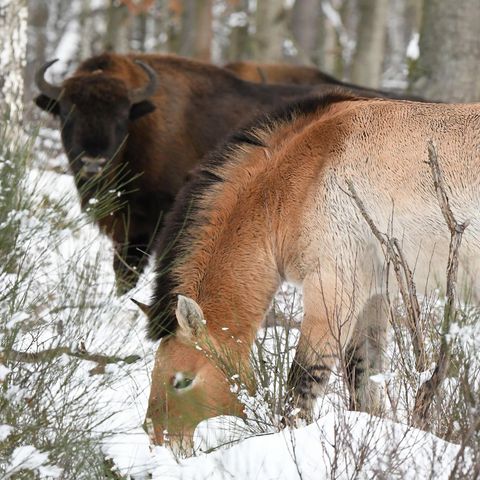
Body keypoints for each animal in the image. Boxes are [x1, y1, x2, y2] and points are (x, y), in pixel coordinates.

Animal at [142, 94, 480, 450]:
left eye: (182, 381)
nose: (157, 439)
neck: (302, 177)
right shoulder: (373, 296)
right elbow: (363, 380)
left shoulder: (332, 290)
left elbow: (302, 383)